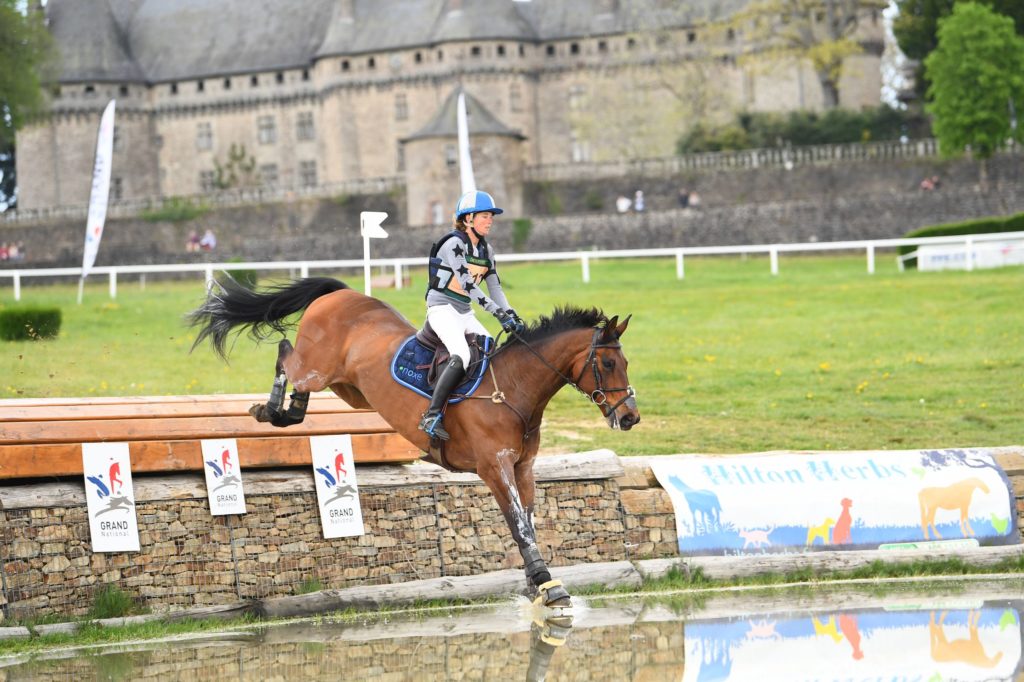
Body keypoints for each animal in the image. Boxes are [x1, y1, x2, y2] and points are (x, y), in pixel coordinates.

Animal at [190, 276, 638, 606]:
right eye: (607, 363)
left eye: (626, 362)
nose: (630, 417)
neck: (512, 389)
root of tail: (342, 293)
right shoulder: (494, 467)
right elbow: (518, 524)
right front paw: (547, 583)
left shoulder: (522, 467)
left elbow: (527, 520)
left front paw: (536, 583)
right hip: (318, 367)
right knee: (286, 354)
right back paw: (269, 410)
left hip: (349, 389)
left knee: (297, 374)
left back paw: (289, 413)